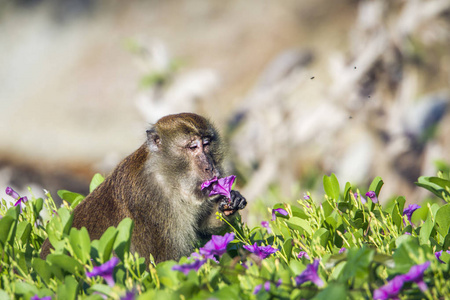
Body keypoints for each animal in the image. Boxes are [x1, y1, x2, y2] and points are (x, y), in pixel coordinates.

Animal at [40, 113, 248, 264]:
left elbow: (205, 228)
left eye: (206, 144)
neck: (167, 178)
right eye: (193, 147)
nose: (210, 167)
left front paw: (230, 202)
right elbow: (164, 262)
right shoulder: (150, 204)